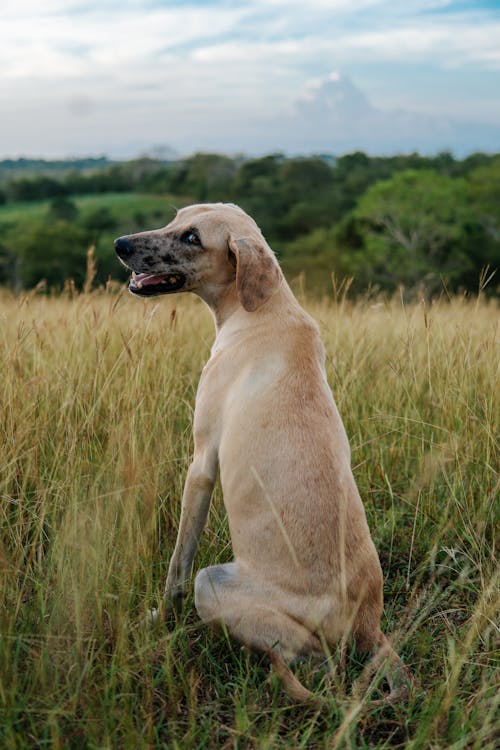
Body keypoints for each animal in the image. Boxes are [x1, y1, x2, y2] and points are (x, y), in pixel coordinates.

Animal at [114, 201, 410, 704]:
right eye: (176, 217)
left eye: (192, 237)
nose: (120, 245)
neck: (260, 310)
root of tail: (370, 624)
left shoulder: (201, 466)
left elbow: (176, 566)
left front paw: (157, 620)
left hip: (215, 582)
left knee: (317, 665)